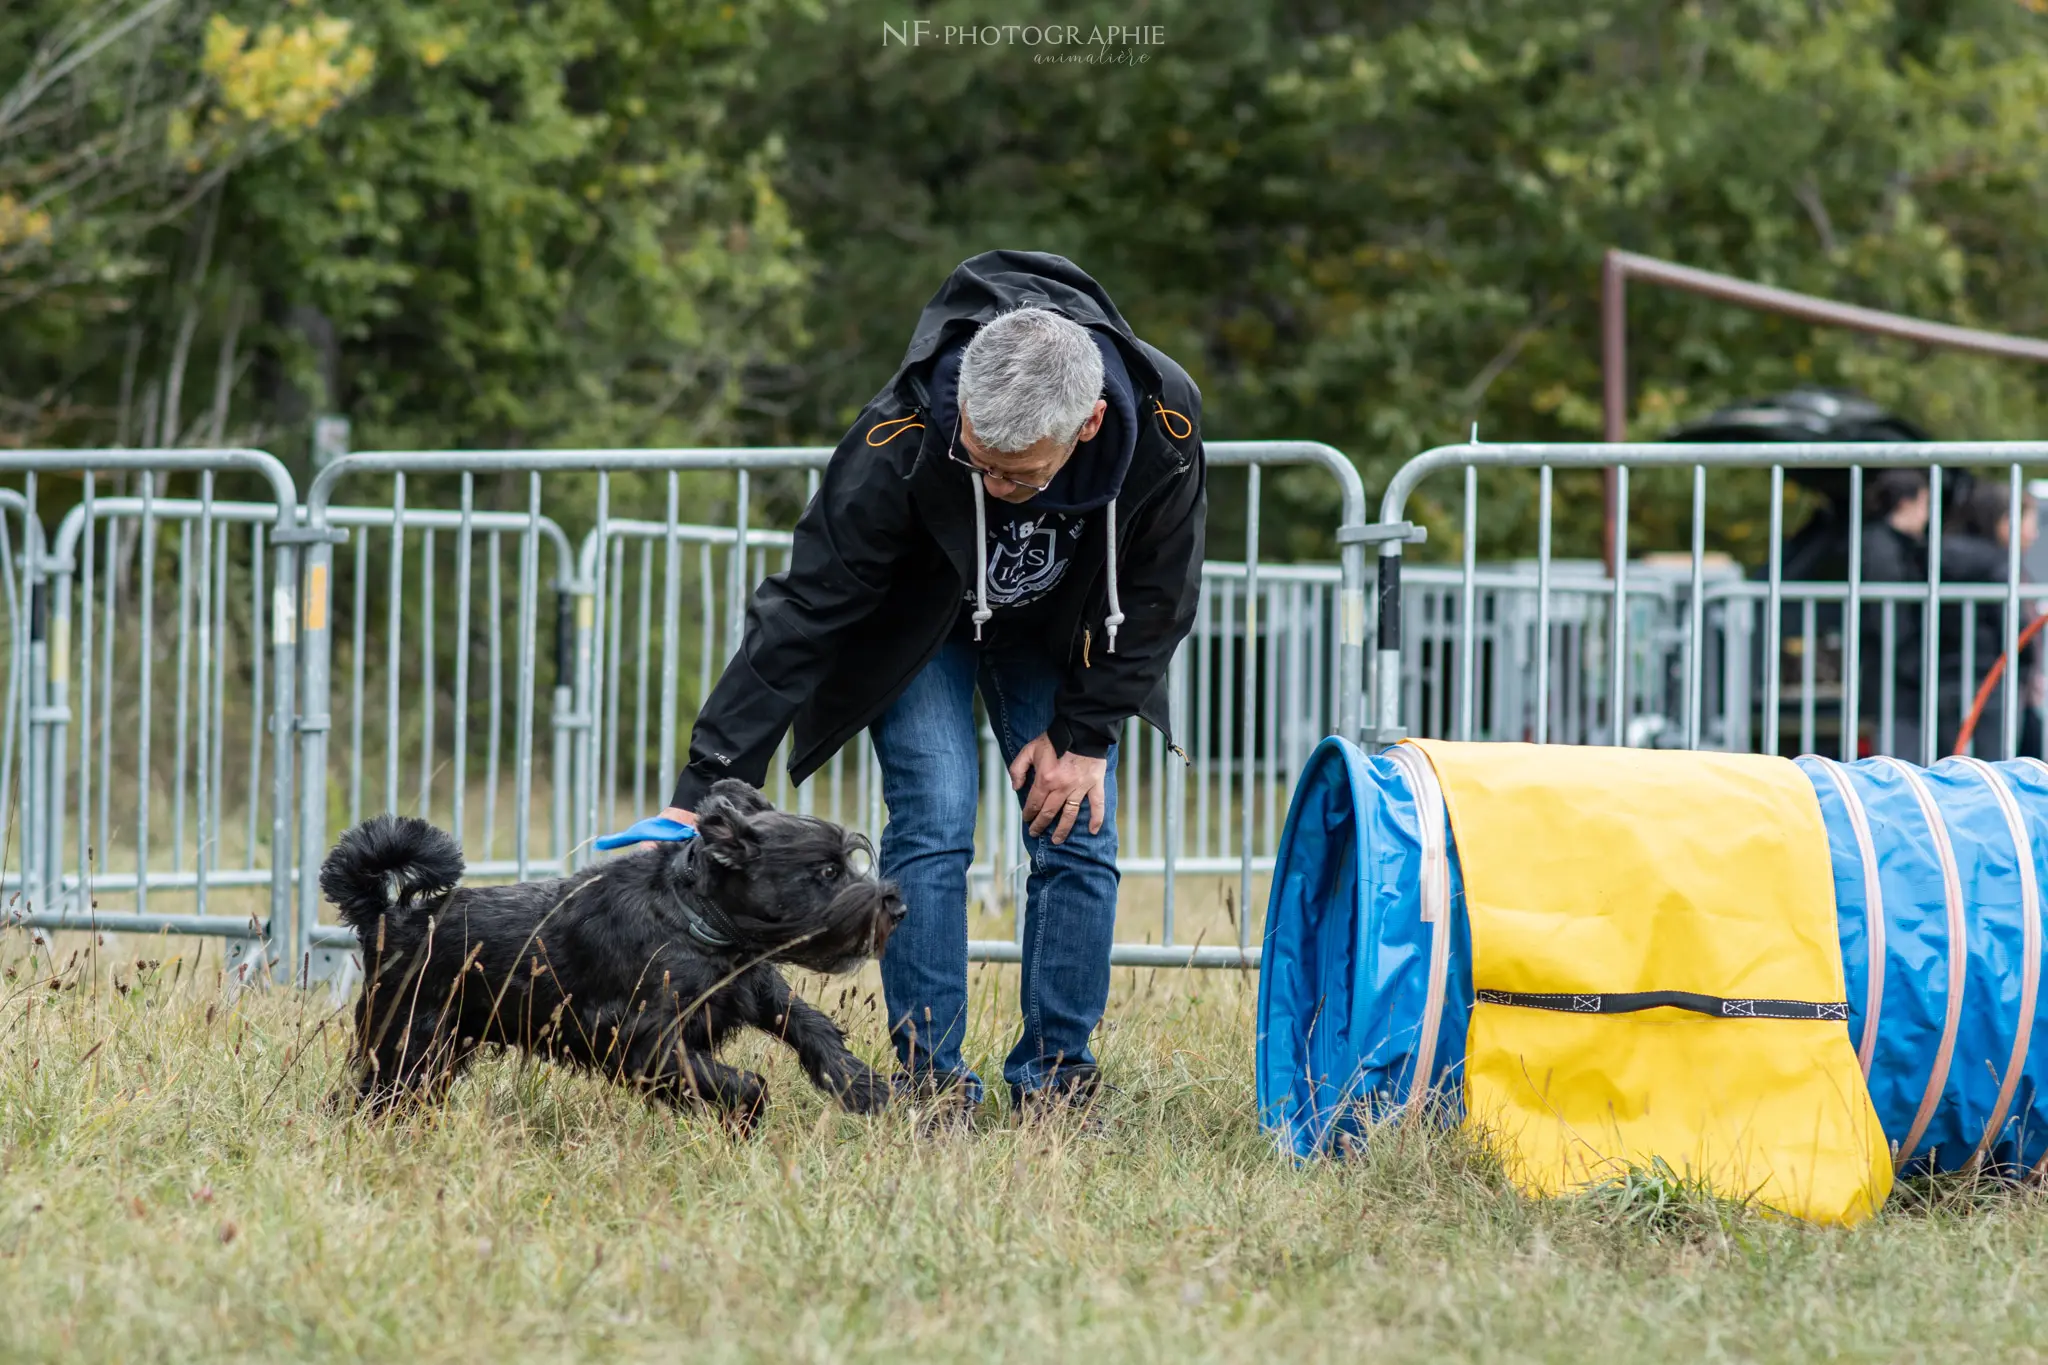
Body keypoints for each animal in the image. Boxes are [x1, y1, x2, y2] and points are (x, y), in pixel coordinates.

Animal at [321, 777, 905, 1129]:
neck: (696, 914)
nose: (895, 906)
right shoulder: (643, 1042)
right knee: (372, 1092)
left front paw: (866, 1090)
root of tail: (387, 918)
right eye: (826, 872)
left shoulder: (757, 991)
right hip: (408, 1041)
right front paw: (746, 1113)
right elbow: (735, 1080)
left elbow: (813, 1029)